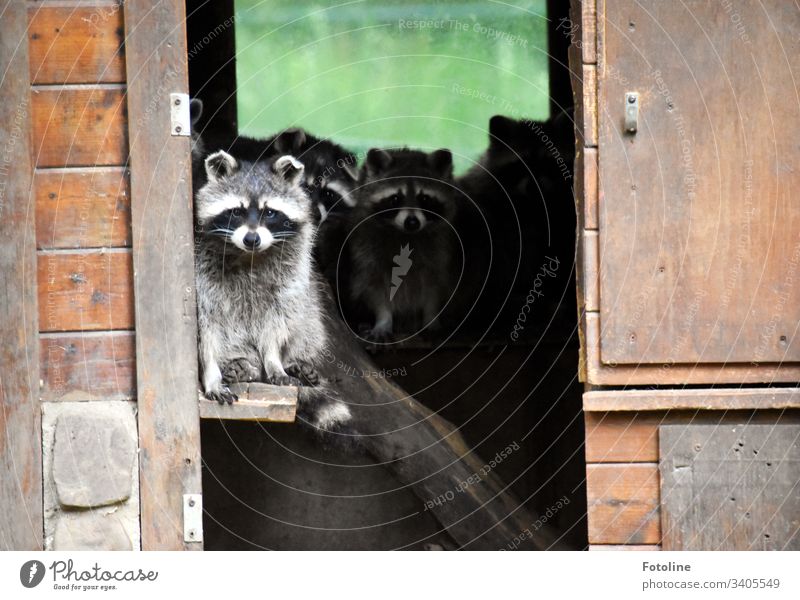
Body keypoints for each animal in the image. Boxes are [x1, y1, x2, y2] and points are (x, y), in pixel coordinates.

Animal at [192, 148, 352, 434]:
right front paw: (211, 374)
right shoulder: (203, 280)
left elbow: (276, 323)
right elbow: (207, 332)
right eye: (236, 211)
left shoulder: (290, 276)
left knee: (307, 318)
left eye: (270, 212)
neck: (249, 255)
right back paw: (243, 366)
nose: (252, 239)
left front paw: (274, 360)